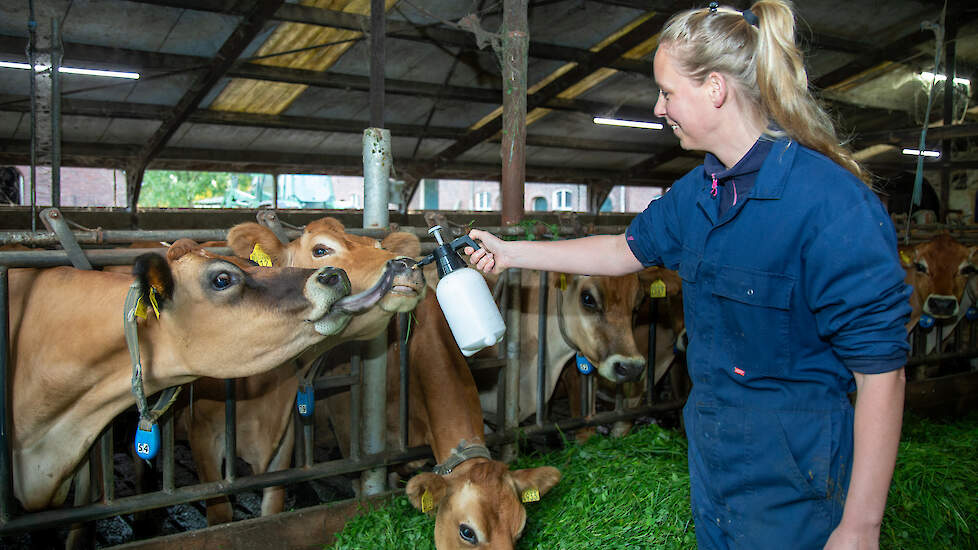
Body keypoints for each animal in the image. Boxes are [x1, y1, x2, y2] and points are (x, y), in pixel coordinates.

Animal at [171, 218, 428, 524]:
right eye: (321, 249)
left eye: (380, 247)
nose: (407, 264)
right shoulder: (203, 435)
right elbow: (221, 511)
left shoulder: (283, 438)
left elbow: (273, 504)